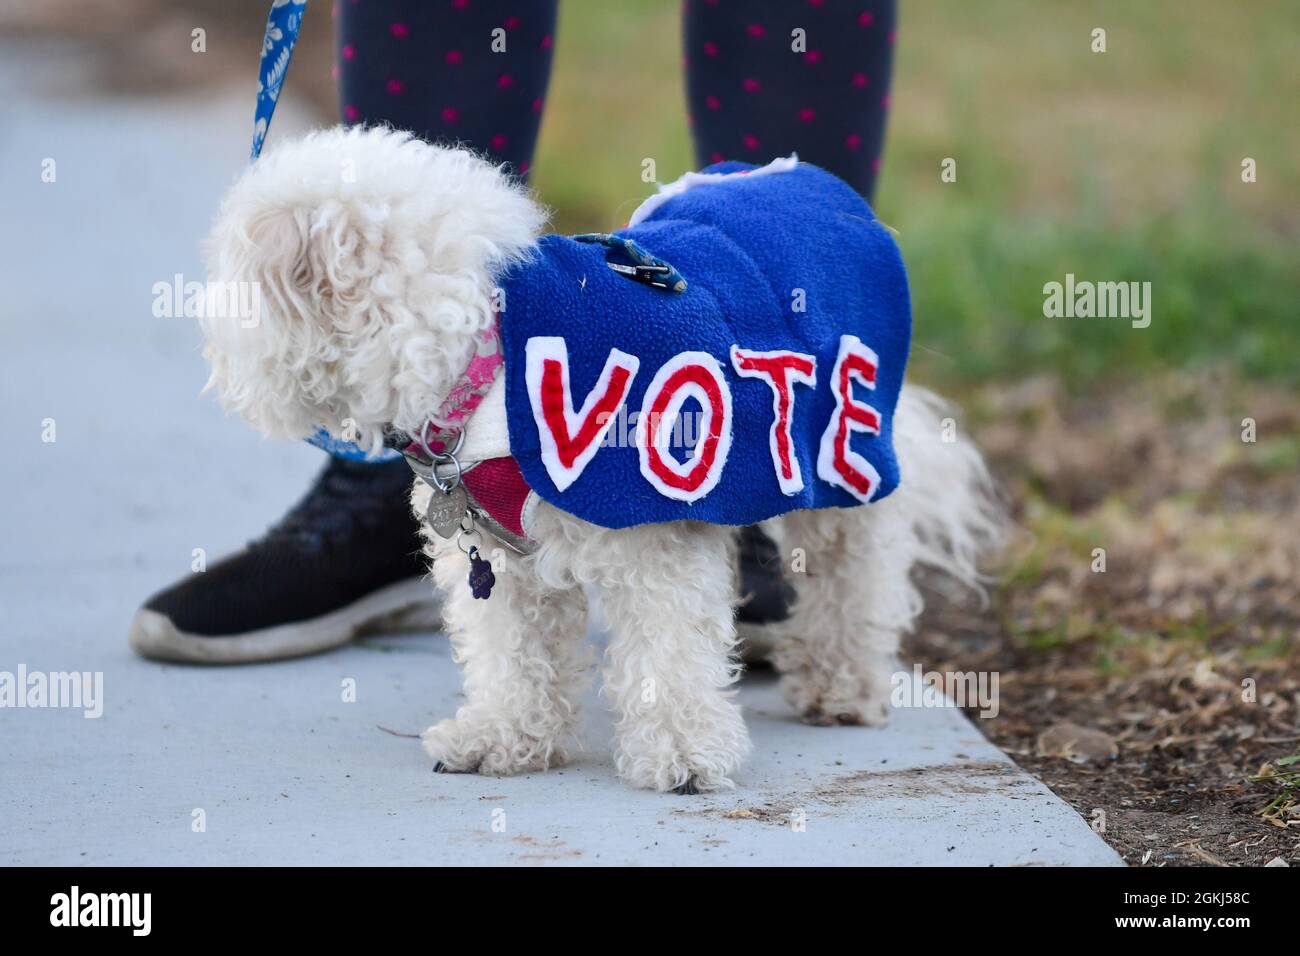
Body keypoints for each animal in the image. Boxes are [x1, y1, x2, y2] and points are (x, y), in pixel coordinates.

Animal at [197, 130, 998, 796]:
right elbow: (513, 653)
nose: (211, 347)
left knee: (853, 579)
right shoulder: (500, 557)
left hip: (844, 464)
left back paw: (841, 686)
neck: (485, 357)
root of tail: (815, 180)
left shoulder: (656, 537)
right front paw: (504, 738)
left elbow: (670, 655)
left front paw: (683, 756)